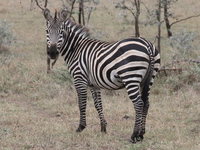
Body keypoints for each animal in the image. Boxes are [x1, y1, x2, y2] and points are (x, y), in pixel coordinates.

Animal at [37, 4, 161, 143]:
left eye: (62, 32)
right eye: (47, 31)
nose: (52, 53)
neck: (75, 49)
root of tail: (147, 45)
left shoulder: (79, 78)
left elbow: (82, 103)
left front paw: (81, 127)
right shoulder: (93, 83)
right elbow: (98, 105)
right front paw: (103, 128)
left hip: (131, 77)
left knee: (139, 103)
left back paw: (134, 135)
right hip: (149, 78)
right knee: (146, 103)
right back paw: (142, 134)